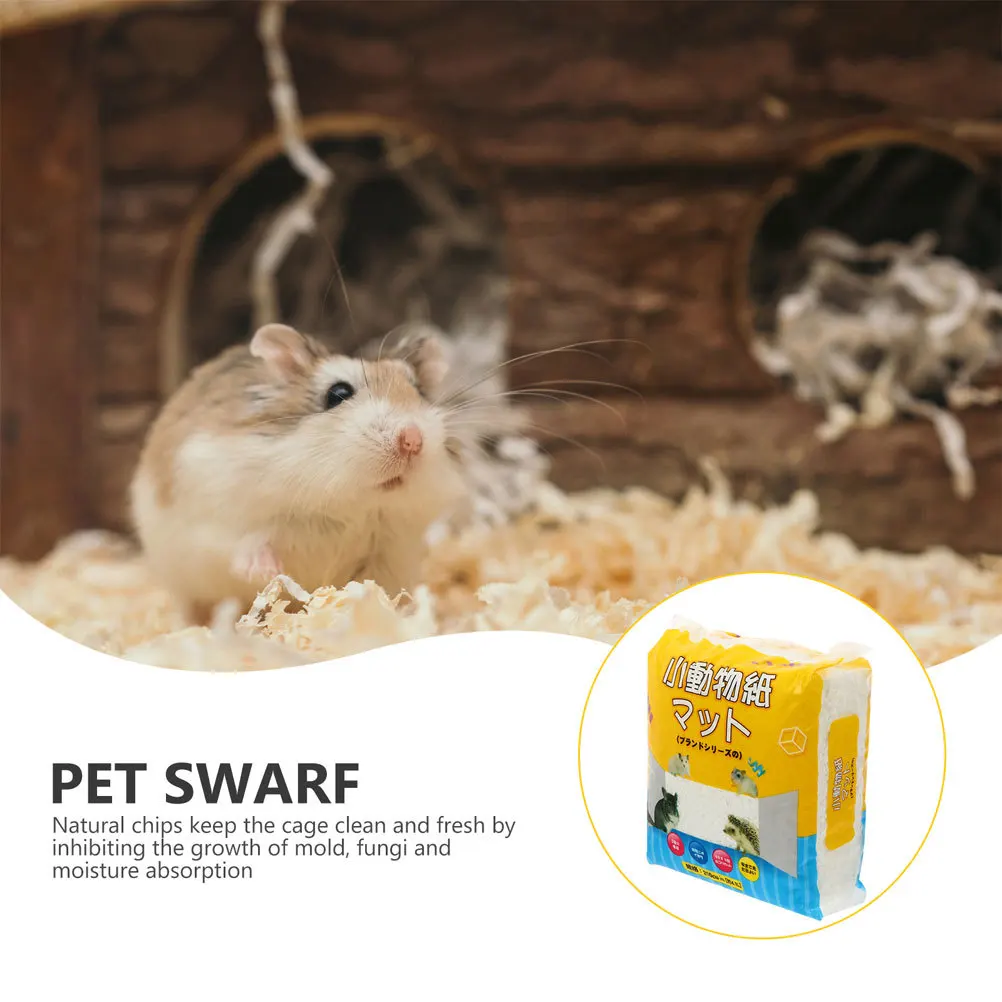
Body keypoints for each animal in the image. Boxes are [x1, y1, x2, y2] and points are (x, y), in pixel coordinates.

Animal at [130, 323, 467, 619]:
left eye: (419, 391)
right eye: (338, 393)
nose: (412, 439)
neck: (348, 504)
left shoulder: (390, 553)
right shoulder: (217, 514)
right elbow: (244, 542)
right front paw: (267, 571)